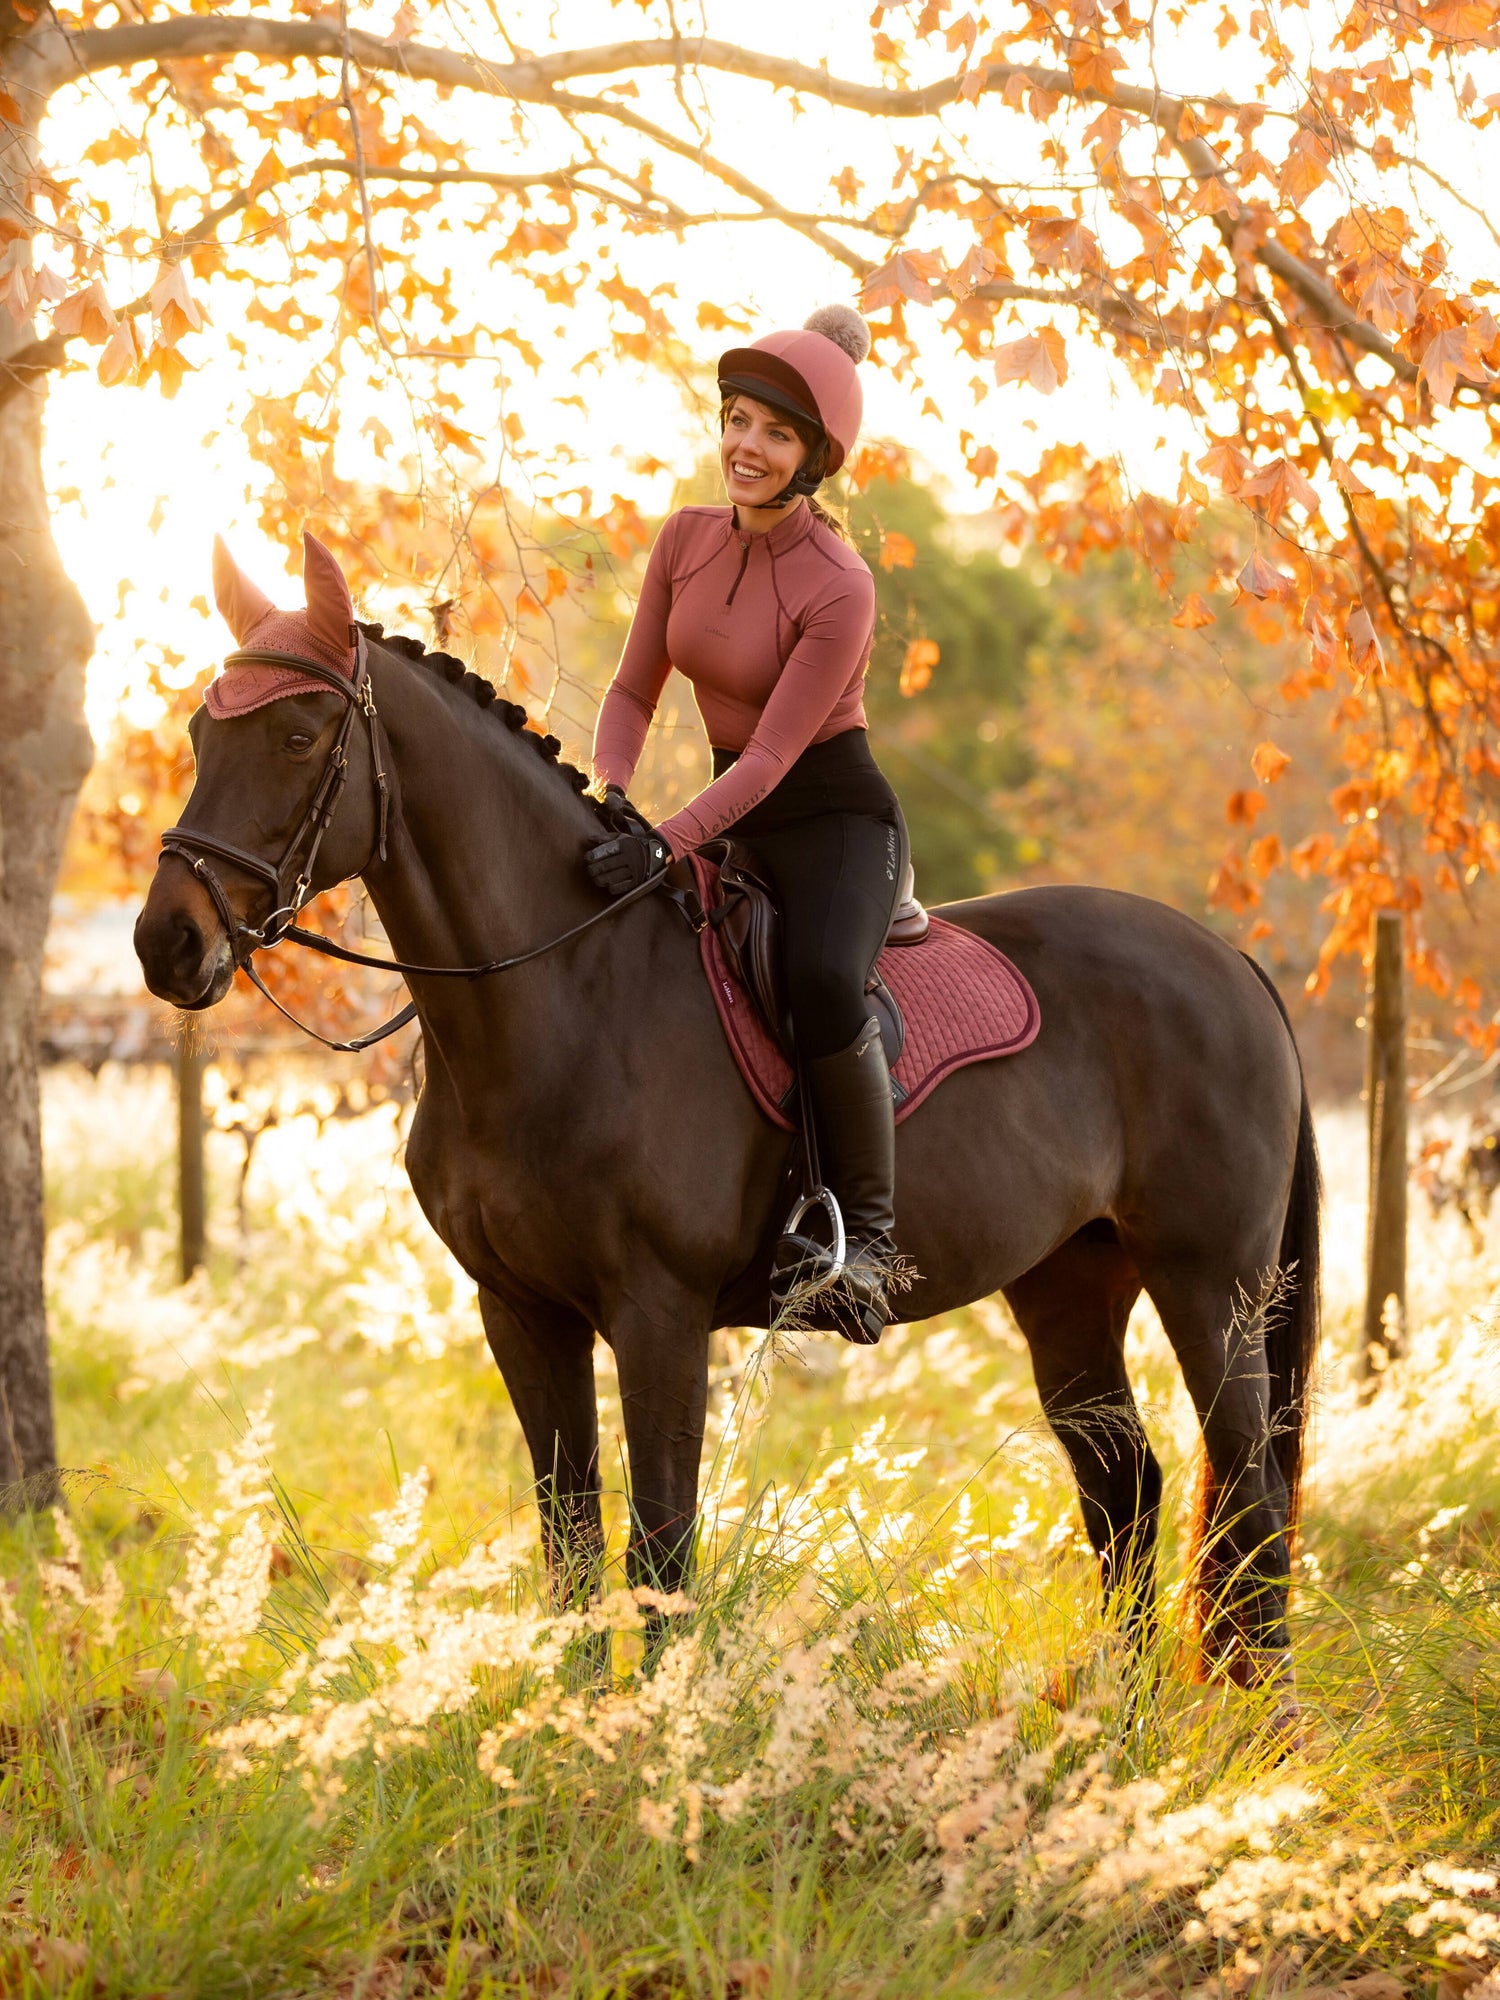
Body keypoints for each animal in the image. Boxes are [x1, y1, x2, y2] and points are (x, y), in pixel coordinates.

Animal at [135, 576, 1320, 1688]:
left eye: (296, 737)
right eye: (199, 733)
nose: (167, 943)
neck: (566, 990)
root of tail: (1228, 958)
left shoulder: (657, 1314)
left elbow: (659, 1551)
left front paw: (654, 1735)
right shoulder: (521, 1312)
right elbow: (572, 1542)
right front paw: (582, 1729)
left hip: (1209, 1280)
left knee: (1250, 1490)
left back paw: (1252, 1722)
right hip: (1069, 1285)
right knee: (1126, 1489)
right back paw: (1123, 1716)